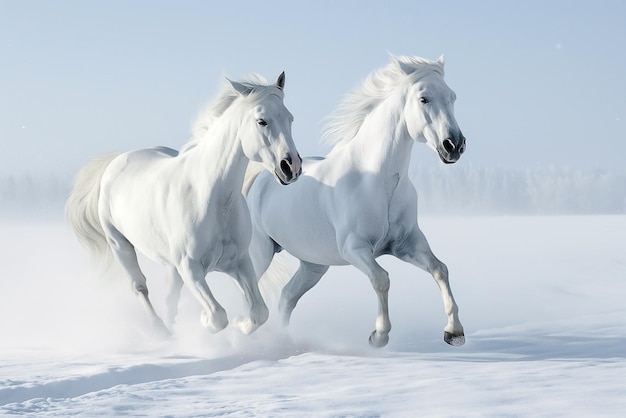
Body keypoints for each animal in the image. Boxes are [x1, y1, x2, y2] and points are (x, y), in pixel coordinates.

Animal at [67, 71, 302, 334]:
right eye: (262, 121)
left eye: (290, 118)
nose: (291, 167)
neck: (213, 200)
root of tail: (117, 161)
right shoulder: (191, 269)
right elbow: (218, 315)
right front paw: (205, 320)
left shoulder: (239, 262)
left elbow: (259, 312)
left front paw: (240, 323)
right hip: (120, 244)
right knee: (140, 286)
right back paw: (160, 330)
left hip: (171, 264)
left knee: (170, 298)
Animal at [246, 57, 466, 348]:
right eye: (424, 99)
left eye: (452, 96)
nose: (454, 145)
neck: (377, 182)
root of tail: (262, 178)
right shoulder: (354, 248)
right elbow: (381, 279)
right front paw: (378, 336)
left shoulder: (407, 244)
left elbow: (440, 269)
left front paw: (454, 332)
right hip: (260, 251)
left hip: (313, 264)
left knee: (286, 298)